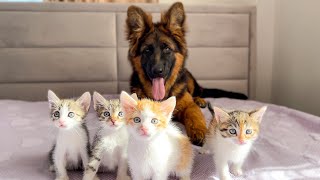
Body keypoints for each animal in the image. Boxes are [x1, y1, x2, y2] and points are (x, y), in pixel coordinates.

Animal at [125, 2, 248, 145]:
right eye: (147, 50)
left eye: (167, 49)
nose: (157, 71)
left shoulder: (189, 105)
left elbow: (194, 114)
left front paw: (199, 131)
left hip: (190, 81)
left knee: (197, 93)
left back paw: (199, 100)